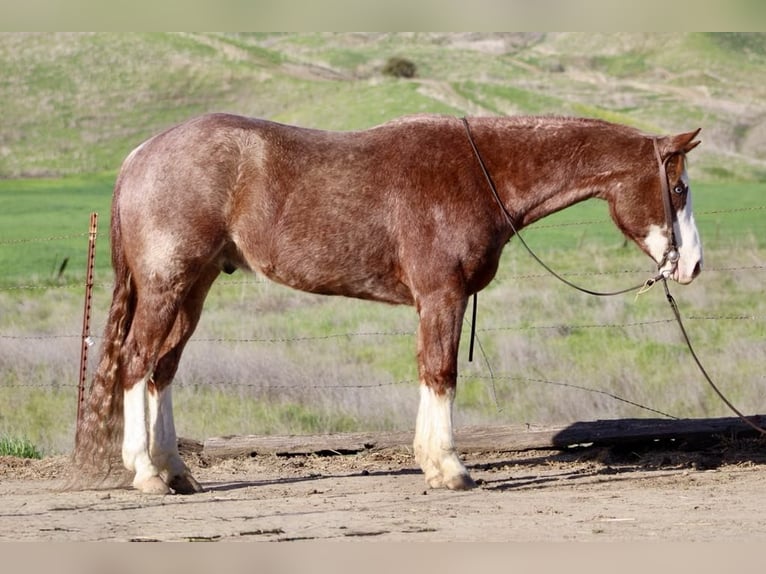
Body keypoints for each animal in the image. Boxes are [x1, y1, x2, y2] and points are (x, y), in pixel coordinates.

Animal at [74, 113, 702, 494]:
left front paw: (431, 462)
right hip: (166, 286)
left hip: (193, 289)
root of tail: (141, 154)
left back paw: (176, 472)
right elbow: (441, 374)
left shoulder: (435, 302)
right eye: (678, 188)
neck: (479, 172)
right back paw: (146, 474)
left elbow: (429, 375)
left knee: (162, 372)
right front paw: (451, 469)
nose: (693, 265)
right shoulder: (442, 296)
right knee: (136, 365)